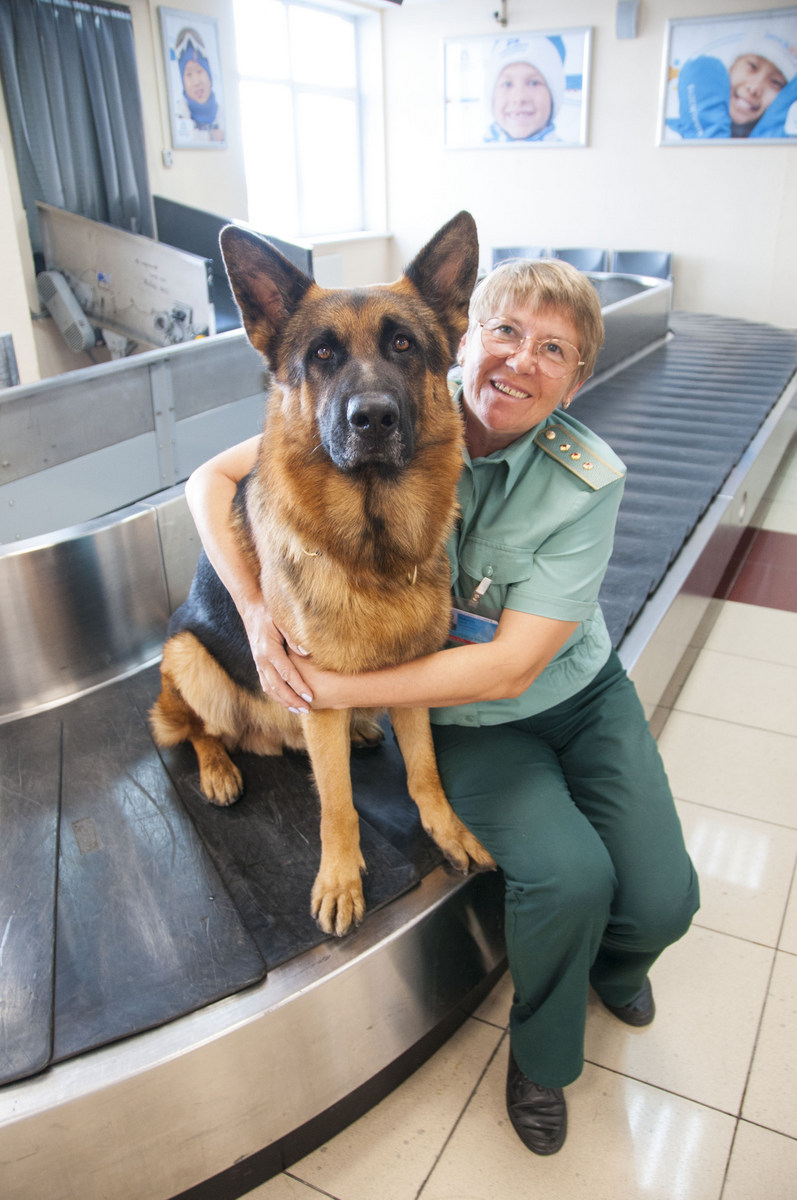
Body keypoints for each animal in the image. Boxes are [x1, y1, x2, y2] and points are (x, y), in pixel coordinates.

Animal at [151, 211, 492, 931]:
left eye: (402, 344)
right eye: (322, 355)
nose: (373, 418)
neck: (372, 548)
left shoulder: (414, 682)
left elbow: (423, 771)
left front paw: (445, 828)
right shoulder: (315, 700)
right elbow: (336, 804)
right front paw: (340, 880)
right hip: (189, 656)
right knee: (193, 730)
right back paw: (218, 768)